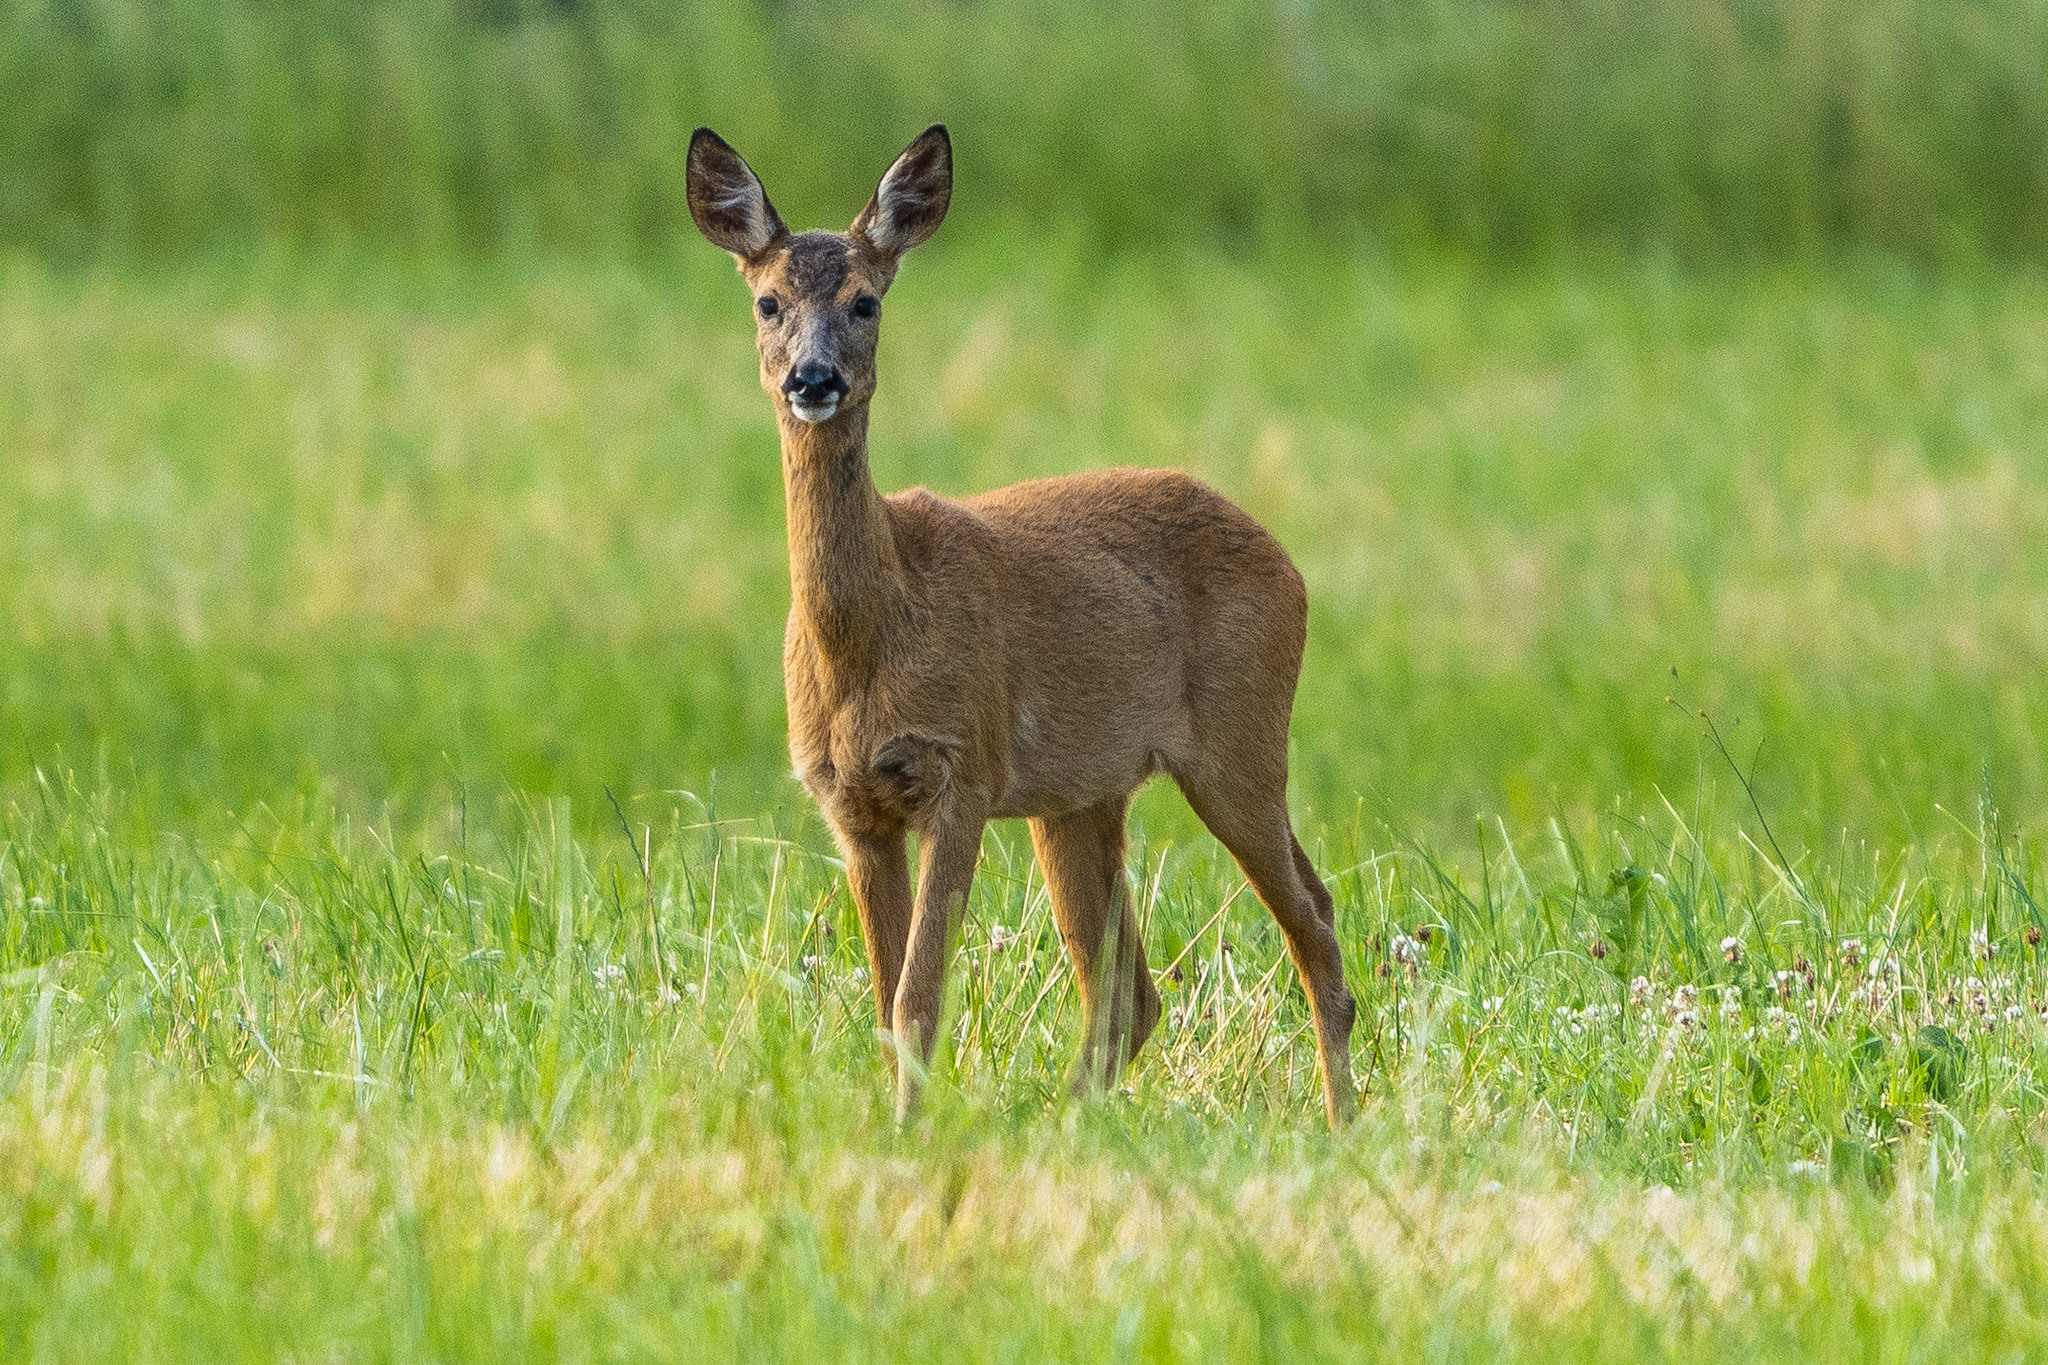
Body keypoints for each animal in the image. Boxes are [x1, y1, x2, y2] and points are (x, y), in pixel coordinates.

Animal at [688, 122, 1359, 1129]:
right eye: (767, 302)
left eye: (866, 301)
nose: (814, 379)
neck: (870, 635)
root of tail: (1287, 559)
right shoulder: (852, 805)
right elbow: (885, 998)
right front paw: (905, 1122)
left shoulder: (963, 767)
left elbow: (918, 995)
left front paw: (907, 1132)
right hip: (1082, 796)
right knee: (1130, 988)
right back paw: (1067, 1118)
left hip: (1239, 738)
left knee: (1311, 924)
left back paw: (1345, 1119)